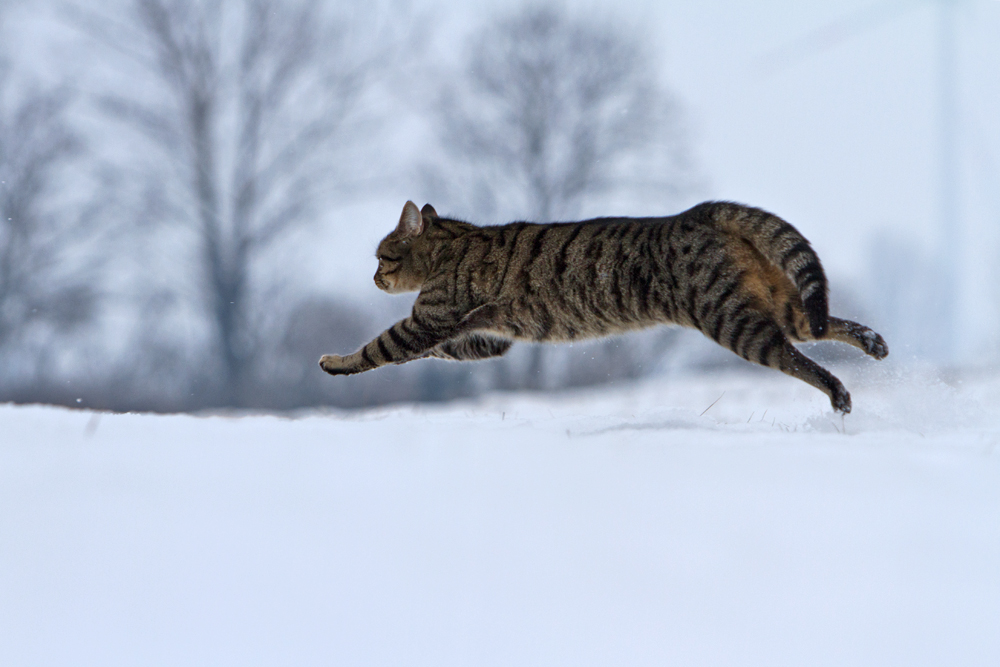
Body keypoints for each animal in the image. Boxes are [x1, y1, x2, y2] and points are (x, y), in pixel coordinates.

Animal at [316, 201, 888, 414]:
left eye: (382, 257)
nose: (373, 277)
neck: (454, 243)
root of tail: (701, 211)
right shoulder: (485, 337)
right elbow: (435, 351)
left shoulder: (430, 319)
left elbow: (381, 347)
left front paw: (335, 362)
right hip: (780, 304)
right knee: (823, 322)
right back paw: (874, 342)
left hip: (732, 319)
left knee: (798, 358)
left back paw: (839, 394)